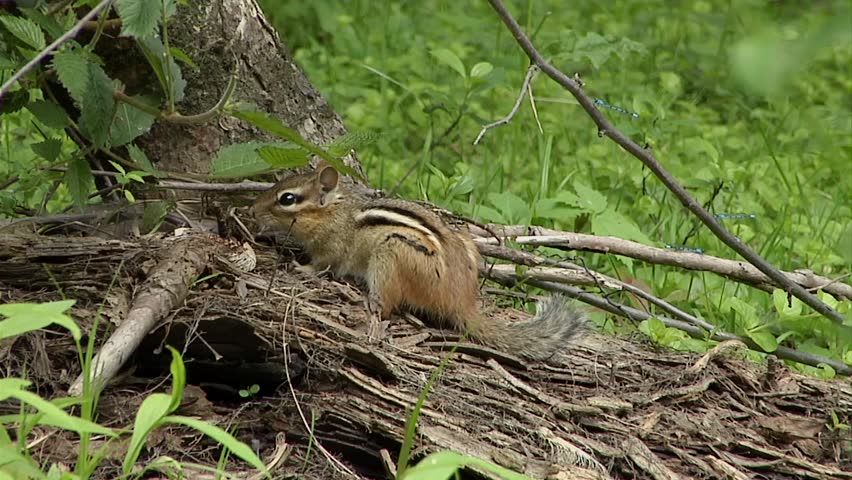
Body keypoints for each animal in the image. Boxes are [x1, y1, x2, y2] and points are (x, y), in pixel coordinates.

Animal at [252, 162, 586, 360]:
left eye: (287, 199)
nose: (252, 209)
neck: (335, 211)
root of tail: (461, 300)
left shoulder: (331, 248)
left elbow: (322, 265)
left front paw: (301, 267)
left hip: (390, 254)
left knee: (388, 305)